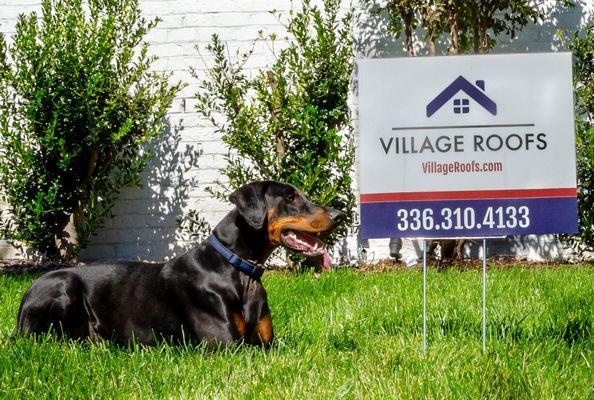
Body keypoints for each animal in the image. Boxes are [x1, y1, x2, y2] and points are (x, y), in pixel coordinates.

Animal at [15, 181, 342, 346]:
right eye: (291, 198)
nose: (340, 214)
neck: (239, 269)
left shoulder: (267, 342)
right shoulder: (226, 345)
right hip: (63, 284)